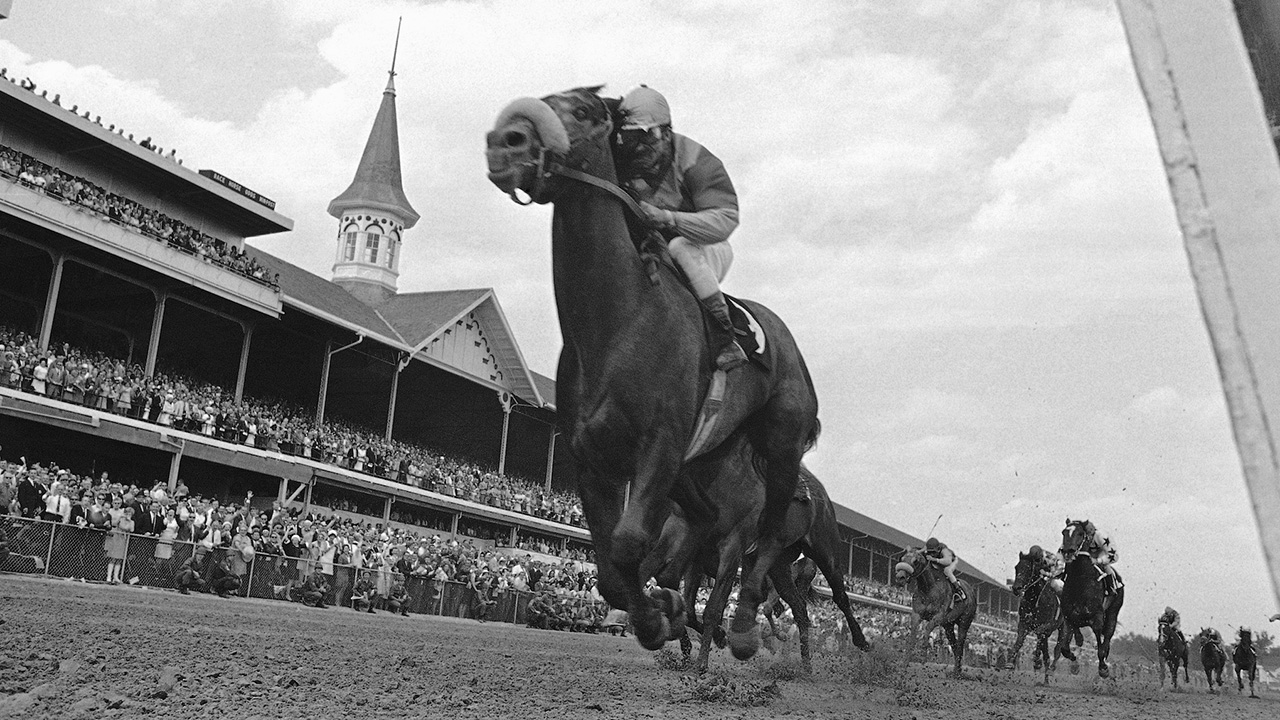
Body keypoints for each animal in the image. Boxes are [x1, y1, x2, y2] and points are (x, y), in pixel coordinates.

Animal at [483, 85, 824, 655]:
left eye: (582, 110)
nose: (503, 143)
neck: (618, 323)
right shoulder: (592, 458)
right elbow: (610, 571)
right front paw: (661, 613)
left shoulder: (659, 444)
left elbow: (626, 545)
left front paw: (663, 617)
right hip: (700, 462)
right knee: (707, 521)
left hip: (779, 446)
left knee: (770, 535)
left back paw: (744, 626)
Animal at [896, 543, 972, 671]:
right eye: (902, 558)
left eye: (915, 561)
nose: (900, 577)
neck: (929, 588)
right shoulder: (916, 614)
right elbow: (912, 637)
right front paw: (905, 662)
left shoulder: (938, 617)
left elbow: (926, 631)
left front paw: (923, 658)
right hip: (948, 626)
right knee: (954, 645)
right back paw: (956, 670)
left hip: (964, 623)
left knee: (960, 644)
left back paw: (957, 671)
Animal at [1054, 517, 1126, 676]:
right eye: (1063, 532)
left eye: (1080, 533)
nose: (1068, 551)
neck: (1080, 580)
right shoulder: (1068, 616)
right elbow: (1065, 647)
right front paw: (1075, 664)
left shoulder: (1097, 616)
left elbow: (1099, 640)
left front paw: (1103, 667)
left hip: (1113, 612)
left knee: (1108, 635)